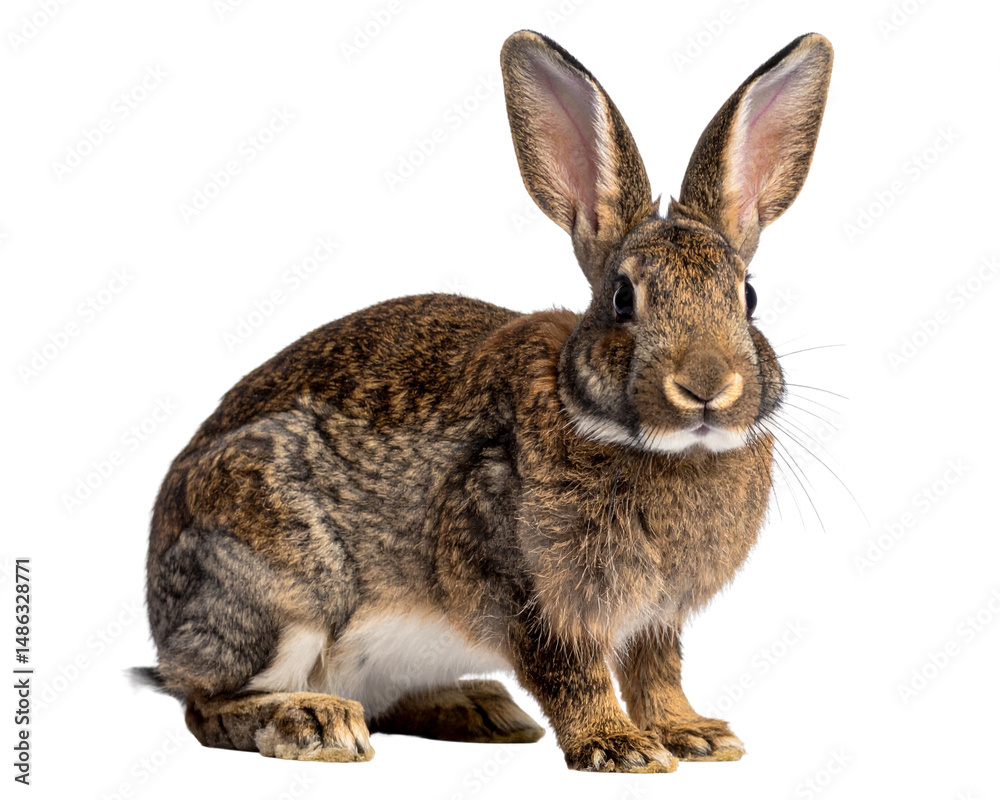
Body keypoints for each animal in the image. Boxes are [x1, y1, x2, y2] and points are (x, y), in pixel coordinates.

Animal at [138, 30, 832, 772]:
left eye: (747, 296)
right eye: (623, 298)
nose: (707, 386)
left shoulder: (655, 617)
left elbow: (656, 671)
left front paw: (695, 734)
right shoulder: (525, 588)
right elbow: (573, 673)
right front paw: (619, 747)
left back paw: (481, 708)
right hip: (283, 585)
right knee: (206, 702)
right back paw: (314, 722)